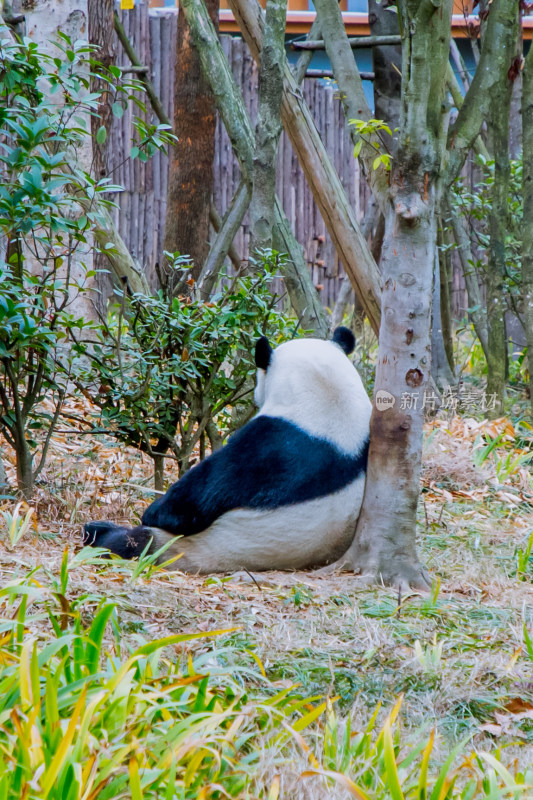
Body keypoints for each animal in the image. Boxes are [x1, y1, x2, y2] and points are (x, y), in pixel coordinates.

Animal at [84, 326, 370, 576]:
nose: (255, 396)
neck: (328, 397)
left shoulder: (267, 448)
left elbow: (188, 505)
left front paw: (152, 511)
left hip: (191, 547)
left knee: (133, 542)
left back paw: (97, 532)